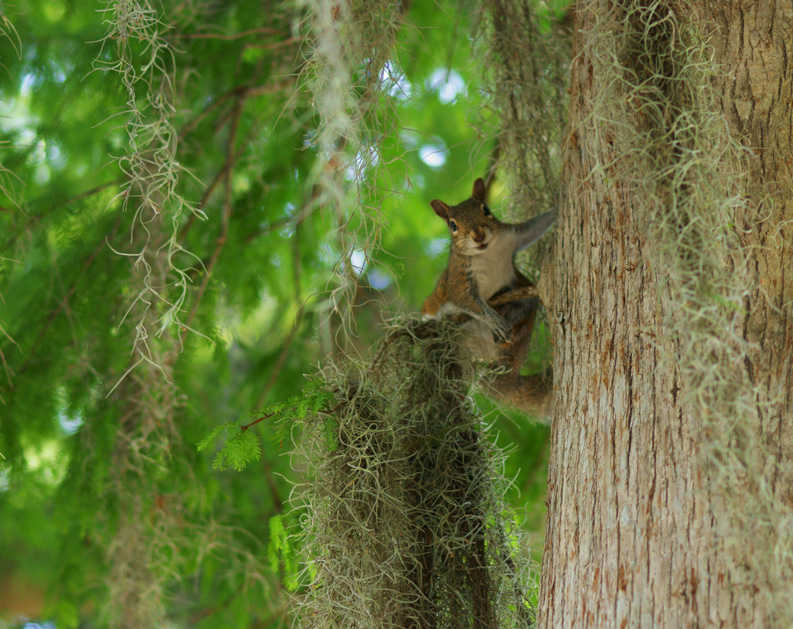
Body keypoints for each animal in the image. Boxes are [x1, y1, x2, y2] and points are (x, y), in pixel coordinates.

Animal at [420, 177, 556, 420]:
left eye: (486, 210)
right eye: (452, 226)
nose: (478, 235)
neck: (487, 251)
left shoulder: (514, 234)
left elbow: (536, 225)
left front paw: (562, 201)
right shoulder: (459, 279)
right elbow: (466, 300)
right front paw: (494, 320)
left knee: (527, 303)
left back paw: (509, 318)